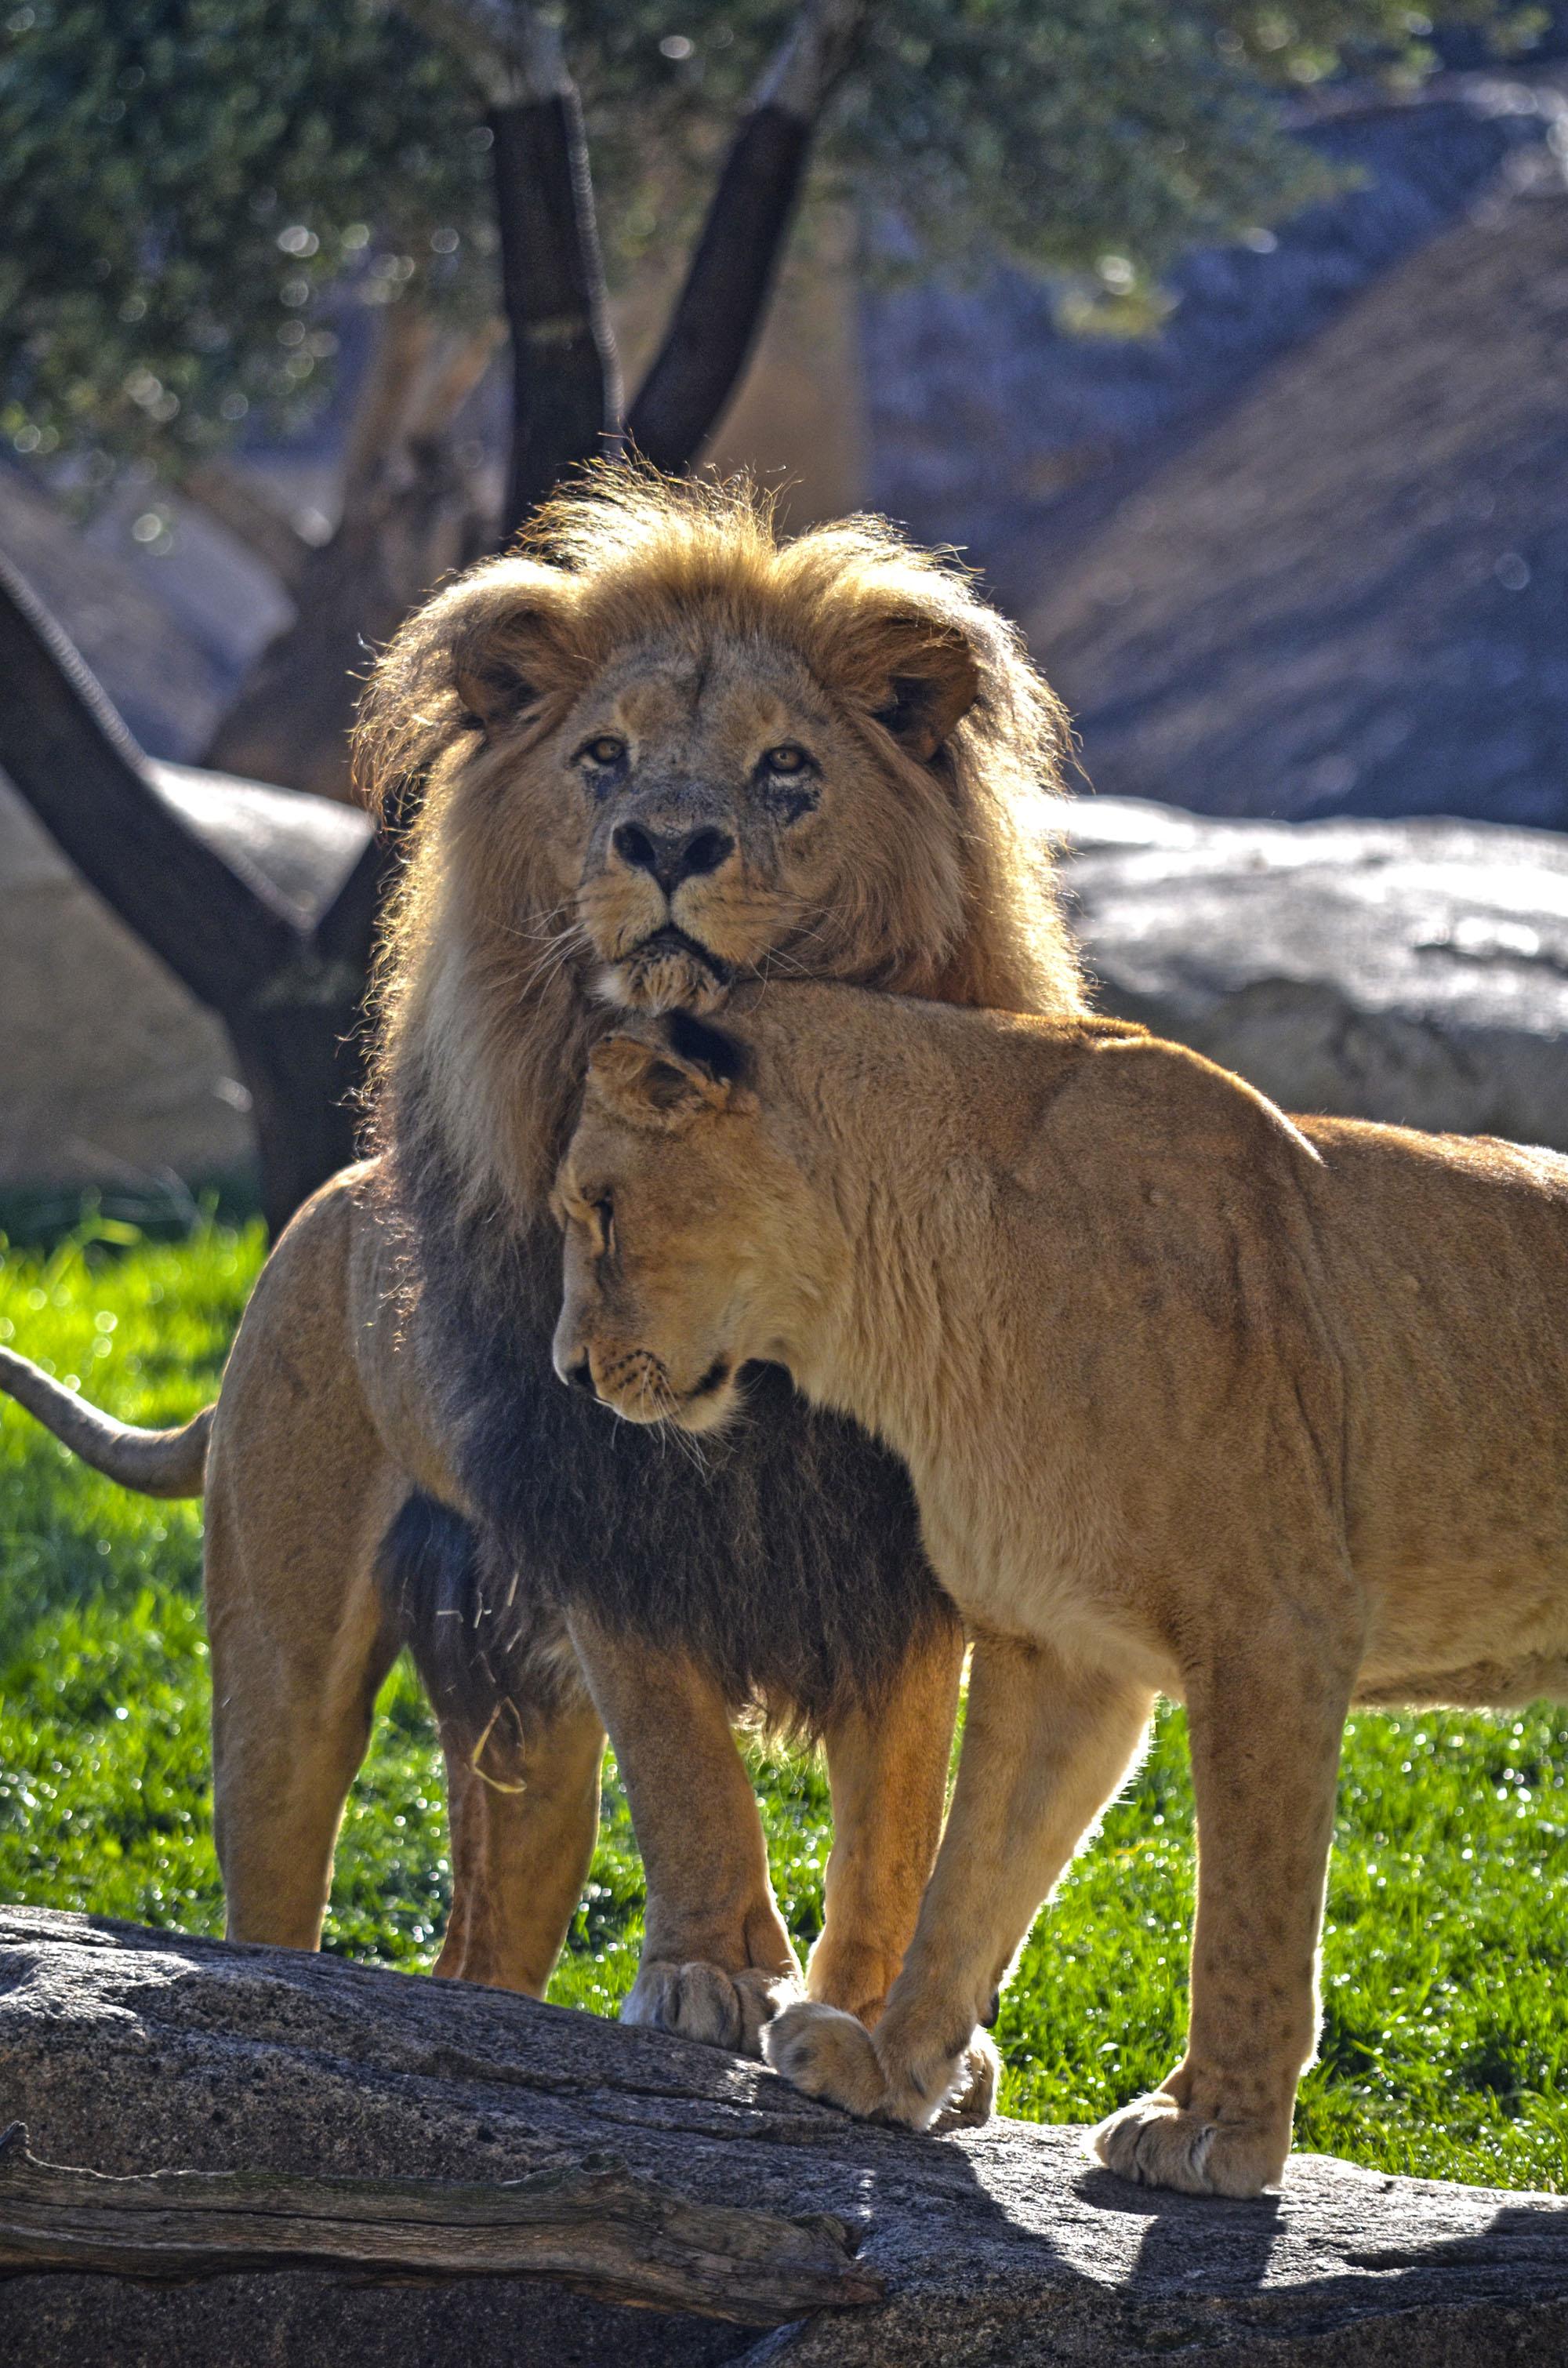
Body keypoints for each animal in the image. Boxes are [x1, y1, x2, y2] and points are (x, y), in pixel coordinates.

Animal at [0, 466, 1080, 2055]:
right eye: (603, 757)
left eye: (785, 770)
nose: (668, 845)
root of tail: (316, 1210)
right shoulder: (603, 1505)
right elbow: (691, 1768)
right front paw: (710, 1974)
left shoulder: (897, 1543)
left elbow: (898, 1808)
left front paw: (868, 2021)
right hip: (282, 1655)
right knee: (276, 1871)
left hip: (519, 1733)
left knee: (483, 1947)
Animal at [551, 985, 1568, 2197]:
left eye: (601, 1208)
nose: (566, 1372)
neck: (903, 1315)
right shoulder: (1059, 1645)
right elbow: (969, 1880)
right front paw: (887, 2072)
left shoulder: (1276, 1628)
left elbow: (1246, 1916)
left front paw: (1213, 2131)